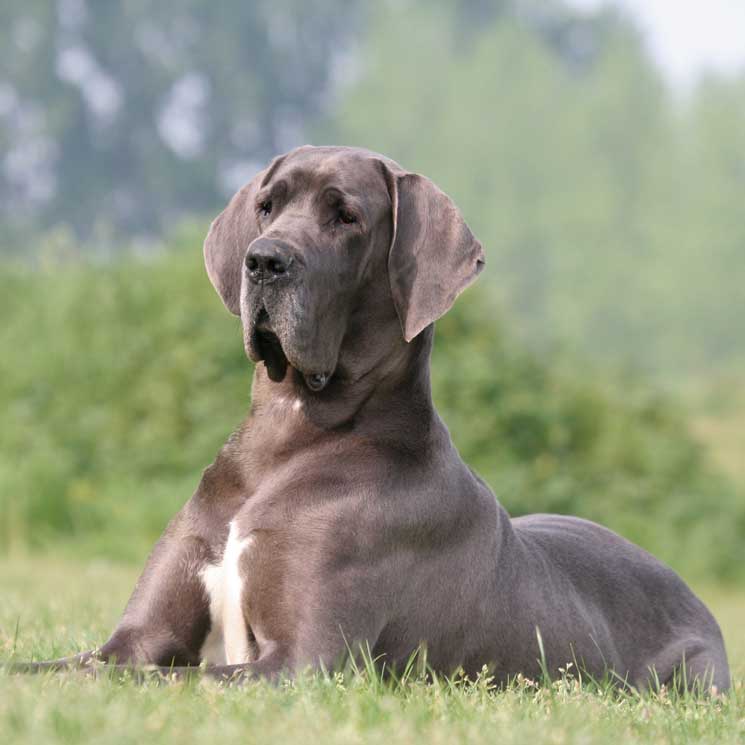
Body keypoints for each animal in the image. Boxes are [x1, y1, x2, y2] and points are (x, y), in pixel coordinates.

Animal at [14, 145, 728, 692]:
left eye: (346, 216)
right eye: (267, 206)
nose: (263, 260)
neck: (287, 437)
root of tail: (701, 602)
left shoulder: (302, 662)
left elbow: (167, 677)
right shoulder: (136, 637)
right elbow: (56, 667)